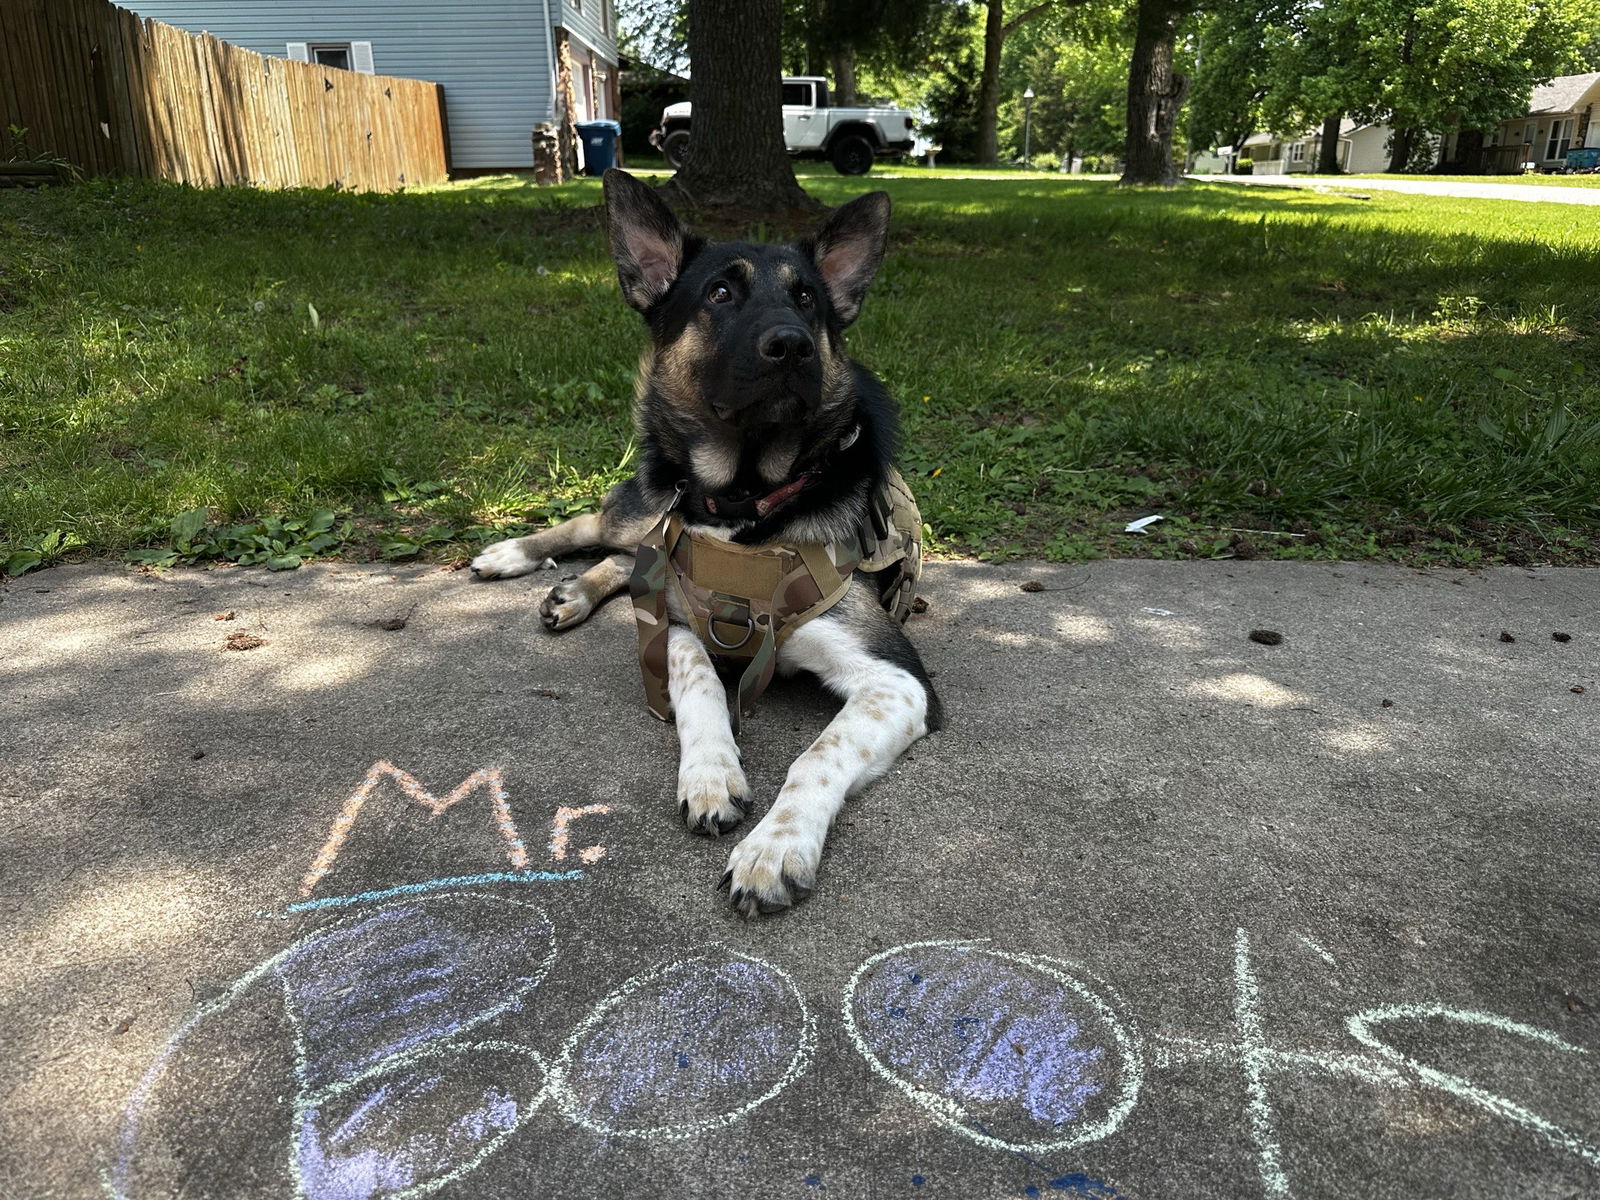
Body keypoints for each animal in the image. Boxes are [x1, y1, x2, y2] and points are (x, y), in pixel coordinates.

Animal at [470, 169, 934, 915]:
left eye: (808, 298)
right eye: (720, 293)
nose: (792, 343)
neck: (746, 502)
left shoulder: (897, 682)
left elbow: (819, 754)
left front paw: (776, 846)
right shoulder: (673, 622)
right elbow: (698, 680)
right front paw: (711, 773)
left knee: (621, 555)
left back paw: (571, 592)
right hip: (653, 502)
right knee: (603, 527)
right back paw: (515, 556)